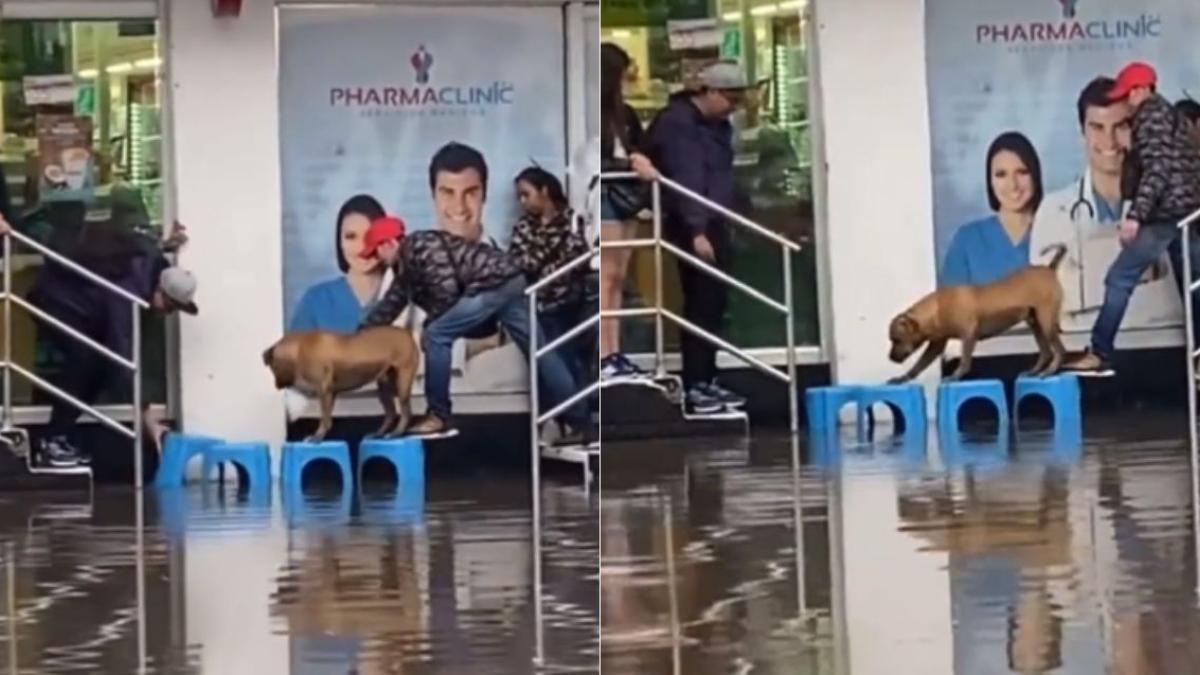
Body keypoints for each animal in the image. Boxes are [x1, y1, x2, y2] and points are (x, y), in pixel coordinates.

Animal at [260, 326, 420, 441]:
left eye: (273, 366)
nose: (277, 385)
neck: (298, 349)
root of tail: (407, 334)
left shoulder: (323, 391)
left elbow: (324, 418)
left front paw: (318, 436)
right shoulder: (330, 393)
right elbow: (327, 417)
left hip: (402, 384)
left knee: (406, 413)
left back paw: (397, 433)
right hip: (384, 387)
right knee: (391, 413)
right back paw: (380, 433)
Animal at [892, 242, 1070, 381]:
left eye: (897, 340)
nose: (891, 357)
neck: (936, 308)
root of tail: (1049, 269)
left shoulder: (968, 335)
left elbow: (964, 360)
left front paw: (957, 375)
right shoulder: (936, 345)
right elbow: (920, 365)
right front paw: (902, 378)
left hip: (1046, 322)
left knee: (1060, 351)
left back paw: (1050, 370)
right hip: (1036, 324)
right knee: (1046, 352)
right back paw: (1036, 371)